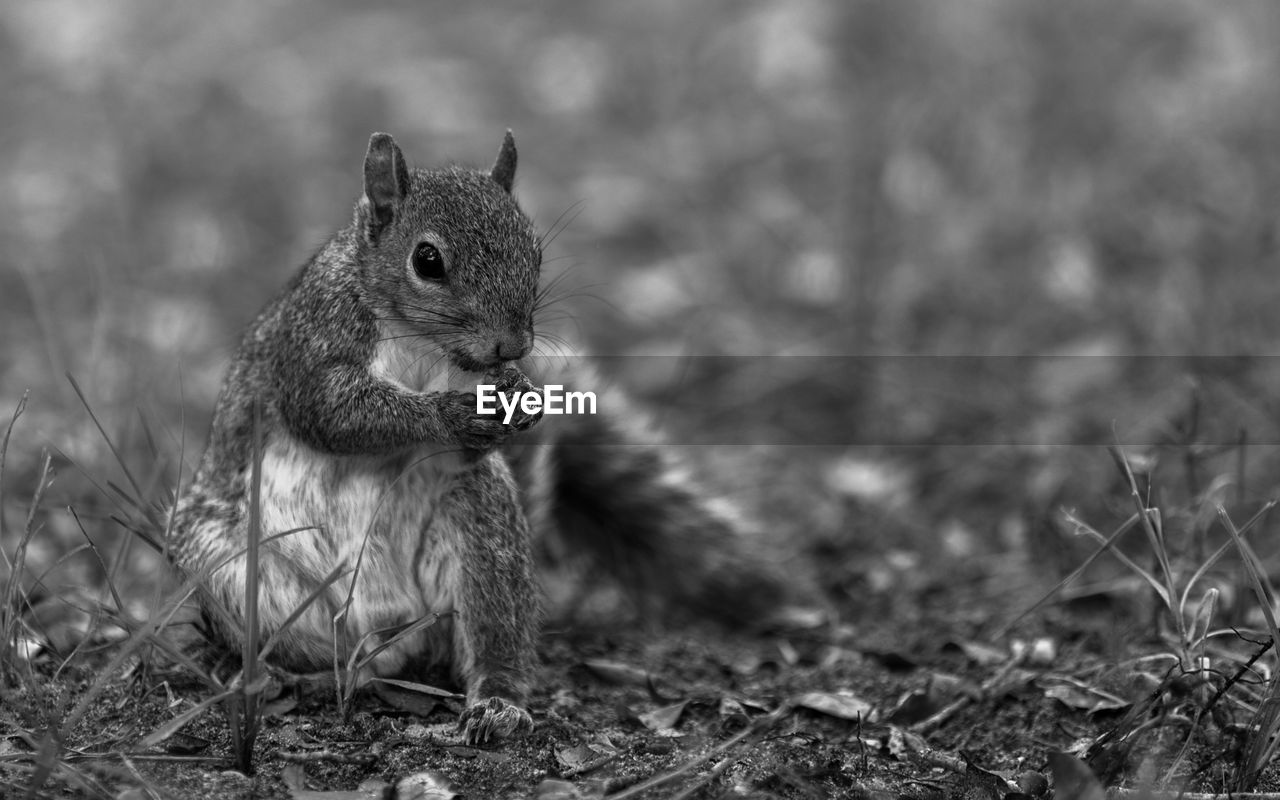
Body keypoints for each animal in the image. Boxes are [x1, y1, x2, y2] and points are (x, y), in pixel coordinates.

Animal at [171, 129, 783, 742]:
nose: (513, 345)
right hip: (231, 570)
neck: (419, 341)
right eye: (427, 260)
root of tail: (386, 629)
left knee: (483, 639)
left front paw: (518, 395)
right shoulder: (310, 346)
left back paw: (495, 701)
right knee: (322, 655)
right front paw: (447, 413)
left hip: (481, 531)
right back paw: (286, 677)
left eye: (535, 252)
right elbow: (333, 413)